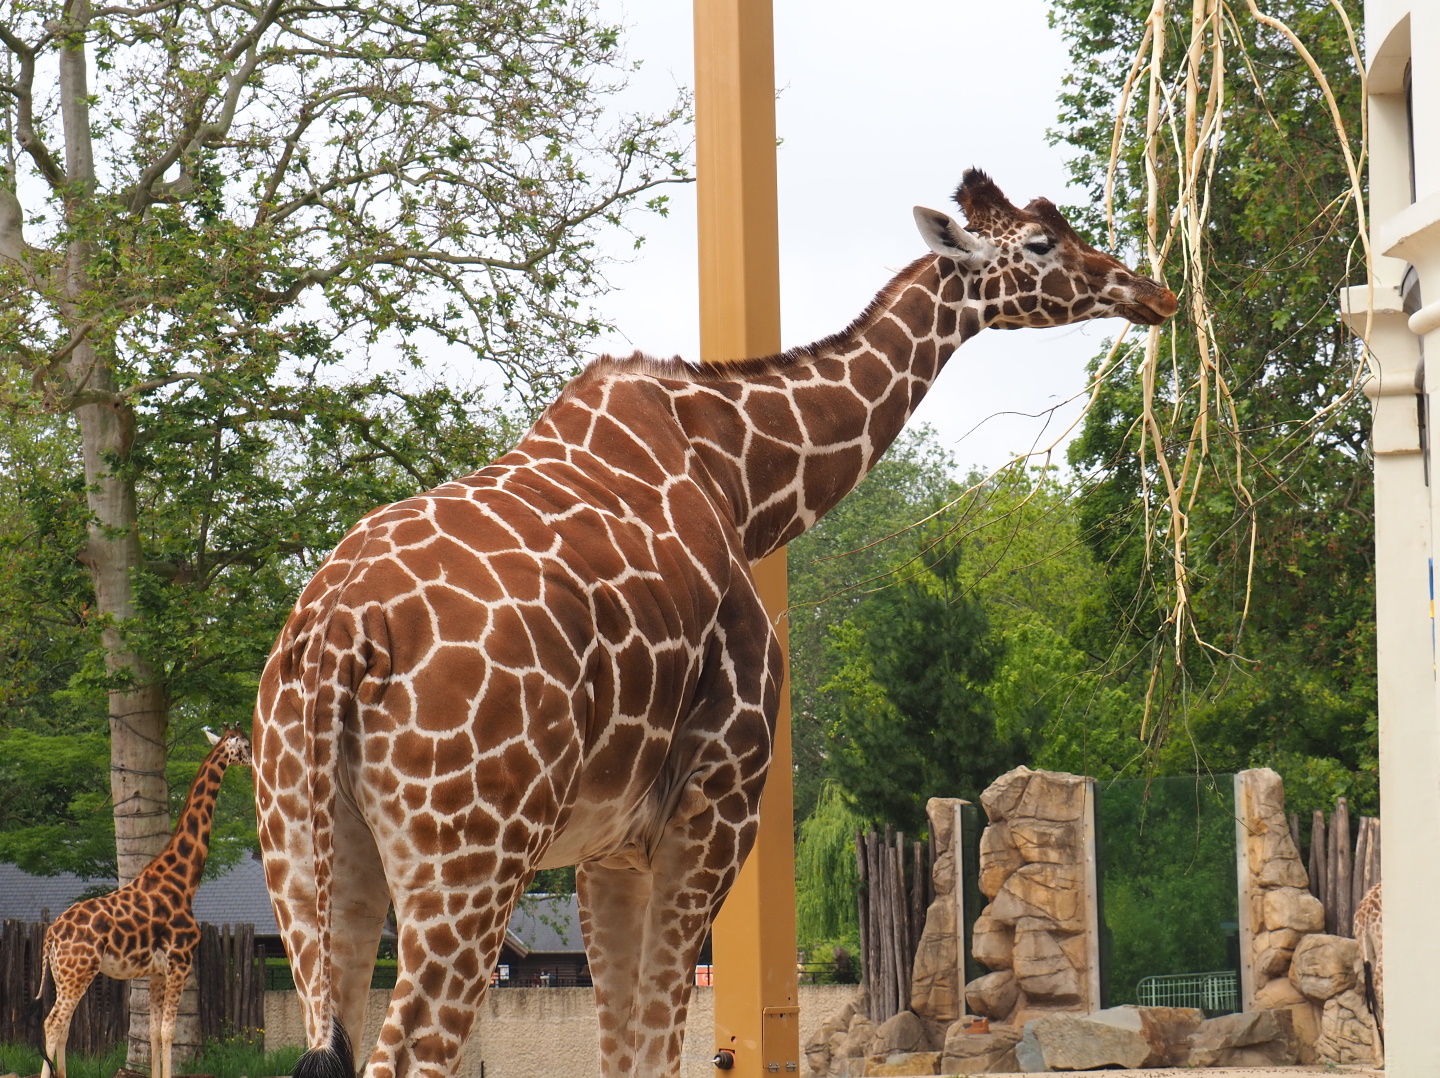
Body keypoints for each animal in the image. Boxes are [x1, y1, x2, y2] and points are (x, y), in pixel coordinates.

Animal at [38, 726, 253, 1078]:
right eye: (245, 744)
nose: (255, 760)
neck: (184, 882)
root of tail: (51, 934)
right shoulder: (180, 962)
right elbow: (169, 1031)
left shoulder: (156, 972)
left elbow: (153, 1032)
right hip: (78, 972)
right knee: (53, 1023)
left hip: (63, 975)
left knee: (64, 1027)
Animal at [254, 168, 1178, 1078]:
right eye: (1042, 241)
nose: (1151, 291)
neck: (741, 480)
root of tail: (340, 635)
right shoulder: (716, 807)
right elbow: (658, 1049)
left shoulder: (608, 847)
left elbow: (623, 1054)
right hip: (474, 854)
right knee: (407, 1050)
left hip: (312, 857)